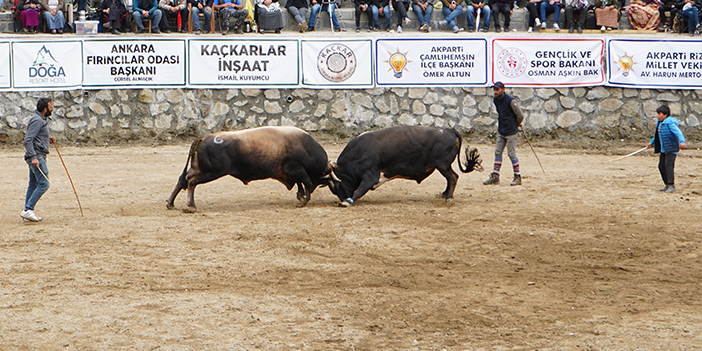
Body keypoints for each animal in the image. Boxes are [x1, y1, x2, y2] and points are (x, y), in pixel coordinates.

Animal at [169, 128, 336, 213]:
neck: (306, 148)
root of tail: (205, 137)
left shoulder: (292, 172)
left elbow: (300, 183)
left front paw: (301, 196)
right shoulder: (295, 168)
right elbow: (306, 182)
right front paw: (304, 200)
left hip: (199, 168)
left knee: (183, 180)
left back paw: (171, 203)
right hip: (209, 172)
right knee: (191, 182)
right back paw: (191, 205)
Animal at [328, 126, 484, 208]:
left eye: (338, 187)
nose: (342, 199)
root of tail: (448, 130)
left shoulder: (370, 175)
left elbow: (360, 189)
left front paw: (348, 202)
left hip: (443, 165)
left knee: (453, 177)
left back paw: (449, 197)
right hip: (442, 166)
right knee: (450, 178)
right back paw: (445, 194)